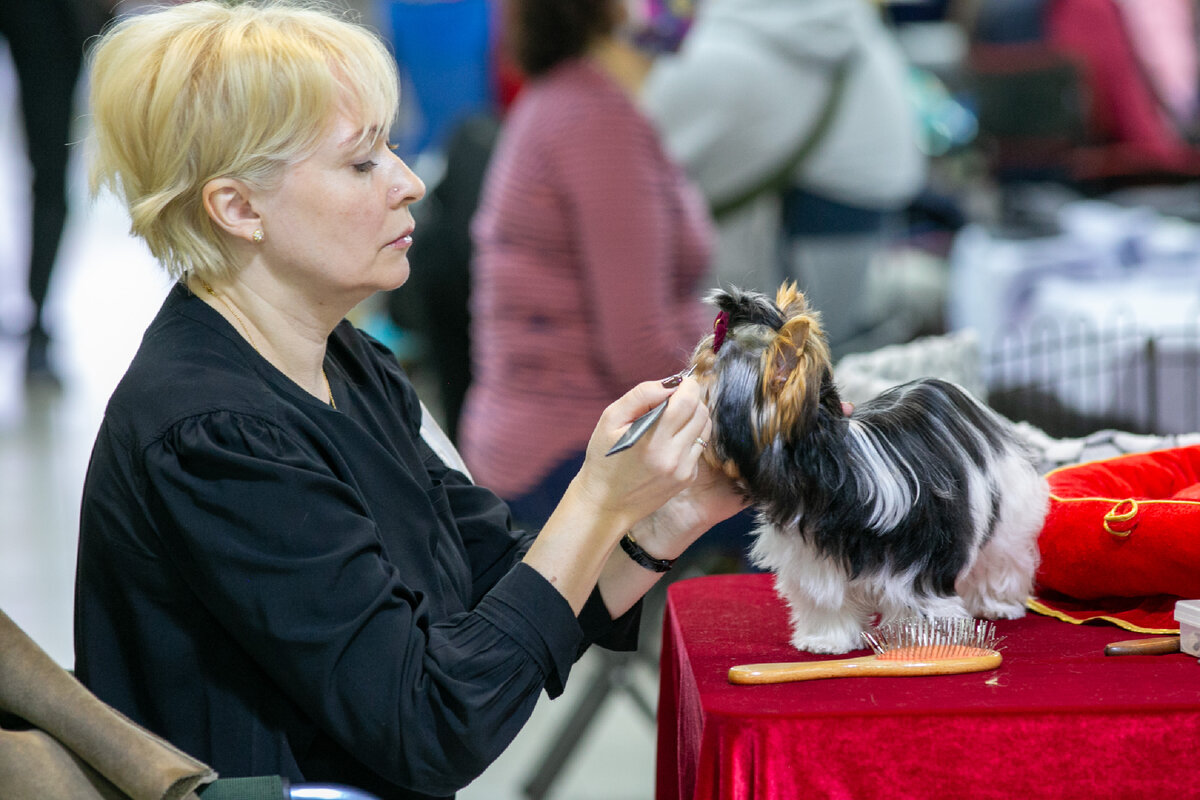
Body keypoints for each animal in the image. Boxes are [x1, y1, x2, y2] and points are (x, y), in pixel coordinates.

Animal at [696, 284, 1051, 652]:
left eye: (709, 373)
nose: (688, 375)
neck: (829, 474)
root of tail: (954, 392)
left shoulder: (915, 560)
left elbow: (918, 602)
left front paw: (920, 644)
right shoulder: (813, 559)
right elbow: (826, 601)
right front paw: (826, 640)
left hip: (1006, 501)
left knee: (1002, 554)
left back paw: (997, 603)